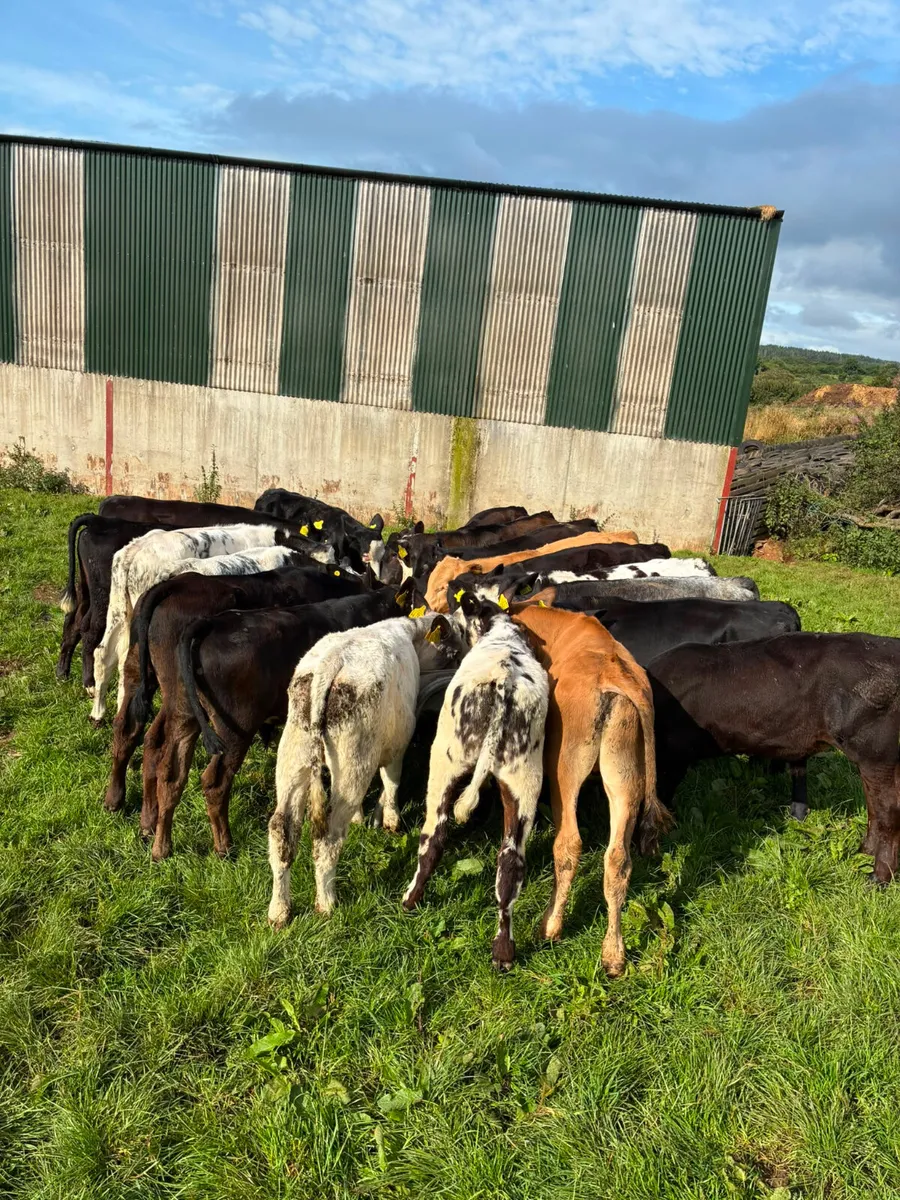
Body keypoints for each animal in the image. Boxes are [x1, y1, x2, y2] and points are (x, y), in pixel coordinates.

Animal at [267, 612, 463, 925]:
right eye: (454, 651)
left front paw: (362, 819)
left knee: (281, 832)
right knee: (328, 838)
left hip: (296, 759)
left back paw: (279, 912)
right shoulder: (398, 742)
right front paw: (392, 821)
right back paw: (326, 904)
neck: (409, 634)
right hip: (350, 762)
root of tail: (330, 663)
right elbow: (392, 782)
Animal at [402, 595, 549, 969]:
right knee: (510, 863)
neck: (502, 633)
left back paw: (410, 899)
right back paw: (503, 951)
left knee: (434, 835)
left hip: (445, 761)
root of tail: (504, 685)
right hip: (524, 780)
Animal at [648, 633, 900, 885]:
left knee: (888, 810)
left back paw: (879, 877)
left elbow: (660, 799)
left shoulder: (672, 758)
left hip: (875, 751)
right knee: (874, 806)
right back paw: (864, 852)